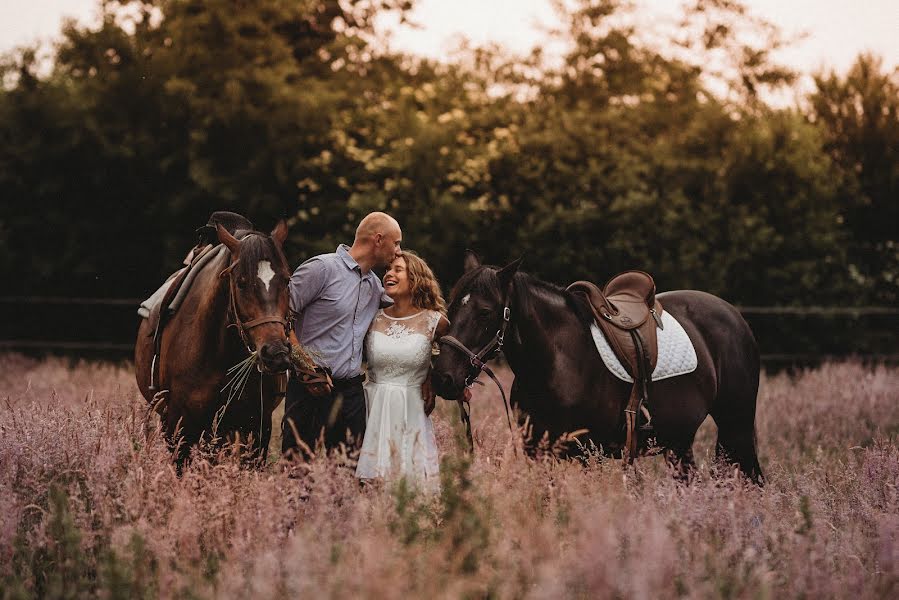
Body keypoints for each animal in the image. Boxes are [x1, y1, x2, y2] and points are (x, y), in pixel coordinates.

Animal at [432, 253, 764, 482]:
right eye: (451, 305)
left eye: (485, 312)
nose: (444, 377)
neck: (557, 364)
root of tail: (734, 315)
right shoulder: (538, 454)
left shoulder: (588, 455)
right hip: (679, 442)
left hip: (735, 426)